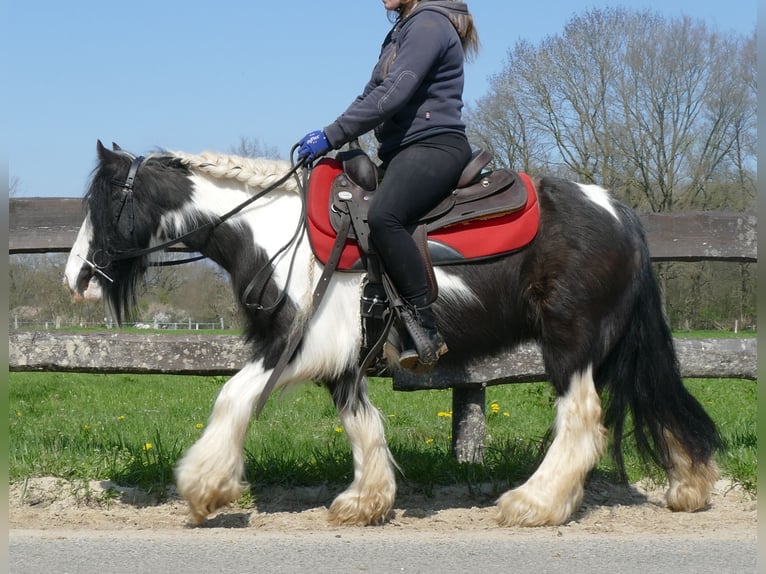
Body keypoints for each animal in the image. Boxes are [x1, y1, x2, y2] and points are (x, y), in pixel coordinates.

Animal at [63, 142, 724, 528]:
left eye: (101, 201)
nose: (75, 279)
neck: (276, 233)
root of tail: (620, 212)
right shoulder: (340, 360)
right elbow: (361, 423)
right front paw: (367, 501)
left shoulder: (293, 346)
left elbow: (232, 397)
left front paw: (205, 489)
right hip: (611, 346)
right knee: (657, 399)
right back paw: (689, 486)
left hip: (570, 344)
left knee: (582, 421)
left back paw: (534, 504)